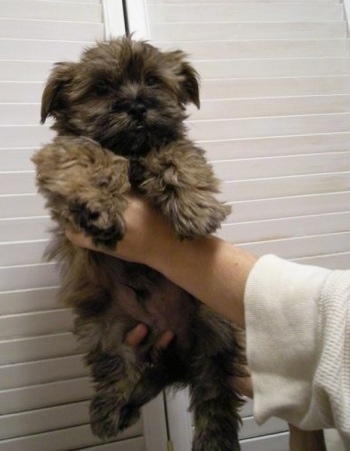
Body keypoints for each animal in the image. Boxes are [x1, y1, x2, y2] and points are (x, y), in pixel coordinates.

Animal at [32, 38, 246, 451]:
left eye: (153, 81)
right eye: (101, 88)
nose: (136, 105)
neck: (131, 150)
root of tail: (175, 354)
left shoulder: (169, 144)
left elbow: (176, 155)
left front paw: (196, 208)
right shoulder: (62, 153)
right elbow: (89, 152)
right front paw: (98, 205)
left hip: (213, 325)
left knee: (215, 394)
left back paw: (211, 438)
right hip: (108, 330)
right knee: (120, 372)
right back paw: (112, 412)